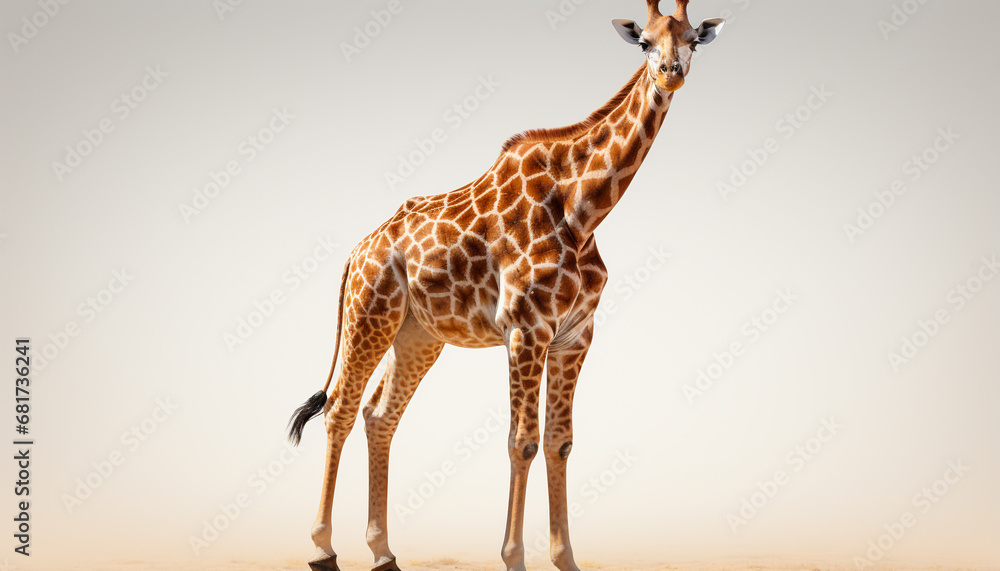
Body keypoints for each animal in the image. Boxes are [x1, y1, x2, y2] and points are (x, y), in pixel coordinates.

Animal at [287, 2, 725, 570]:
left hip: (417, 334)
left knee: (381, 414)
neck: (584, 210)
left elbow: (560, 441)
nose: (671, 73)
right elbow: (523, 441)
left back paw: (383, 551)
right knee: (340, 407)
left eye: (693, 39)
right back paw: (322, 548)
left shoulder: (574, 336)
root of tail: (357, 250)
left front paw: (565, 558)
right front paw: (514, 556)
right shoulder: (525, 328)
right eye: (645, 42)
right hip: (371, 313)